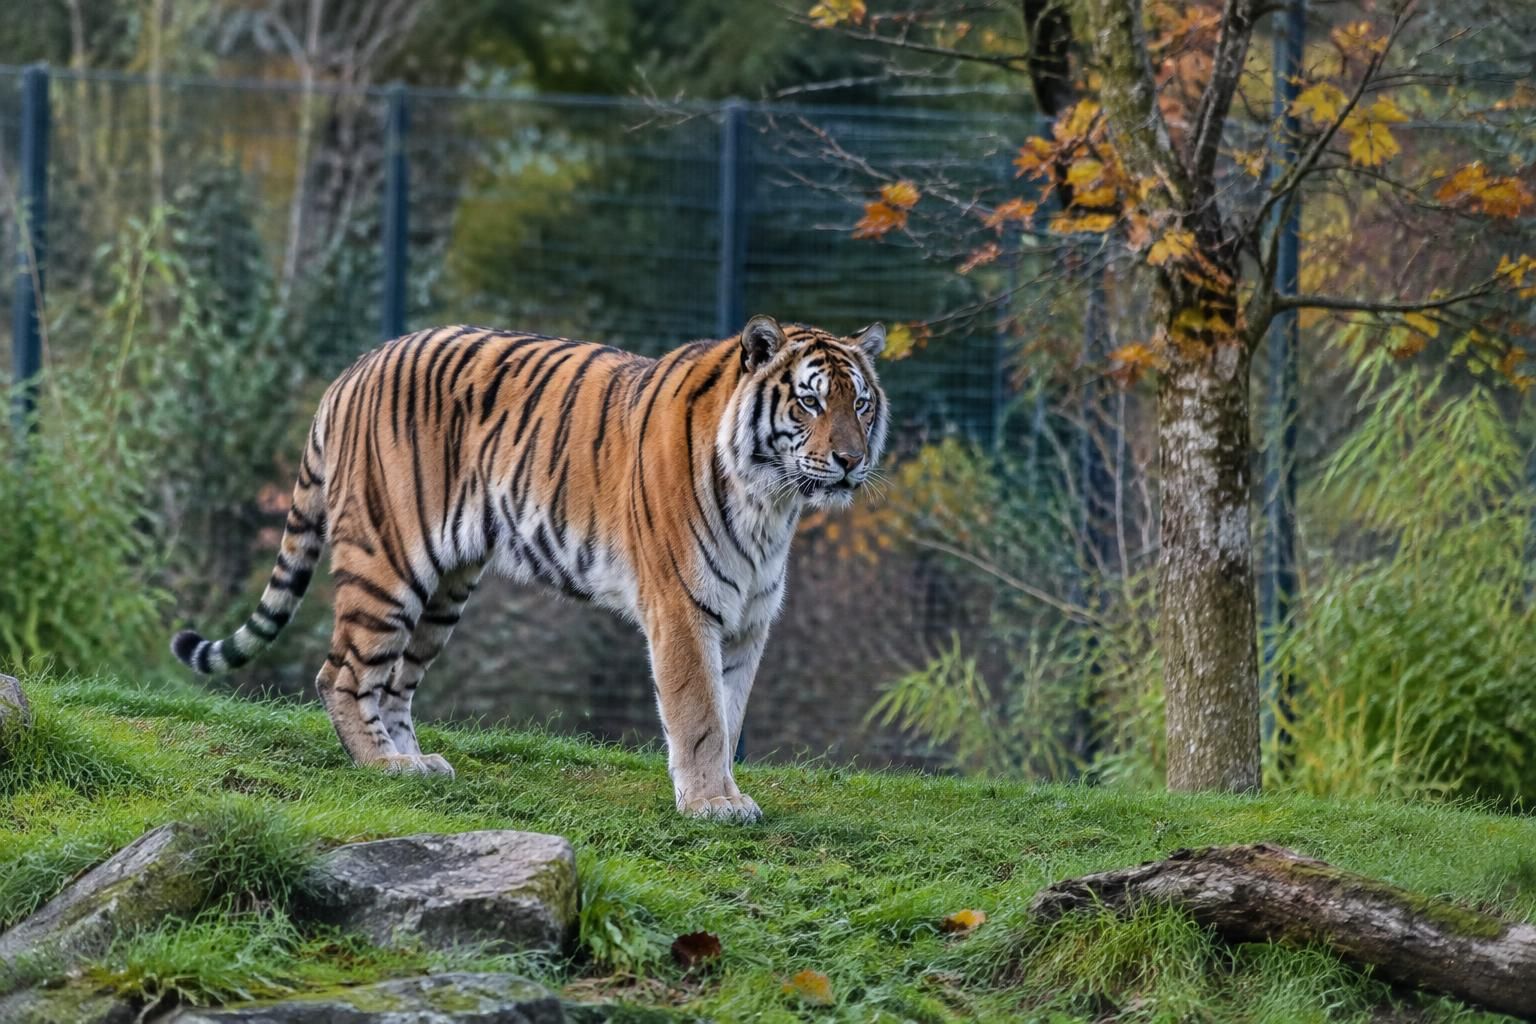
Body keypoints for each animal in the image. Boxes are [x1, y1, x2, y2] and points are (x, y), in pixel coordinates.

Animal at [170, 315, 888, 820]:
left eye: (860, 404)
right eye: (809, 402)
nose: (850, 461)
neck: (771, 503)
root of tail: (353, 370)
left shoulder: (748, 618)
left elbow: (730, 709)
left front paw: (725, 794)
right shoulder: (684, 608)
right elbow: (700, 713)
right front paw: (712, 804)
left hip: (445, 588)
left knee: (395, 681)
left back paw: (416, 761)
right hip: (387, 561)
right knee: (342, 673)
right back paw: (380, 766)